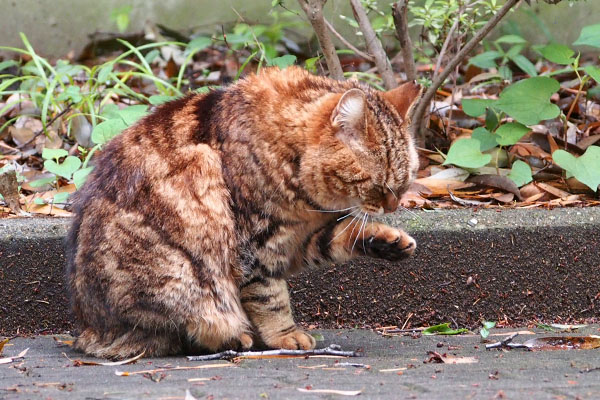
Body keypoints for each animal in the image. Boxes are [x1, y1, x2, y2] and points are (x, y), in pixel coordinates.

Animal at [65, 66, 422, 360]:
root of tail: (88, 331)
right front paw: (284, 335)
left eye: (404, 183)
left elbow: (342, 235)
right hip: (178, 272)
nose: (393, 205)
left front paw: (386, 241)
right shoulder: (257, 245)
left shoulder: (297, 240)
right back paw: (235, 337)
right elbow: (270, 297)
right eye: (378, 185)